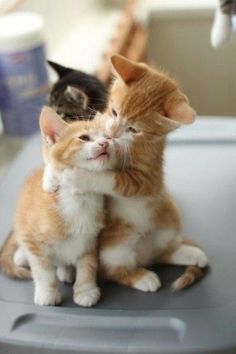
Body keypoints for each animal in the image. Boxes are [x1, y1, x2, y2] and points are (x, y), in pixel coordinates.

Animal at [0, 106, 116, 306]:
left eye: (107, 136)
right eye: (84, 137)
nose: (105, 143)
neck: (79, 199)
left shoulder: (91, 240)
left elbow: (88, 266)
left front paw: (85, 290)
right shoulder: (34, 241)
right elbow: (43, 271)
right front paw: (47, 293)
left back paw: (66, 270)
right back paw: (22, 257)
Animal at [63, 55, 208, 292]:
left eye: (133, 129)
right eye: (114, 112)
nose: (111, 134)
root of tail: (144, 255)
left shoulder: (148, 178)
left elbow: (114, 179)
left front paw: (79, 177)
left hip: (168, 219)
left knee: (153, 257)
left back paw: (179, 260)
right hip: (114, 248)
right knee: (115, 269)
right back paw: (147, 274)